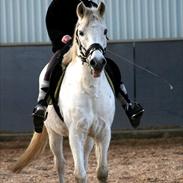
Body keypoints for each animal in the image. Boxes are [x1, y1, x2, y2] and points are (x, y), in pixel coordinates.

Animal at [11, 2, 114, 182]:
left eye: (105, 31)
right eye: (81, 32)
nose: (97, 62)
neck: (91, 91)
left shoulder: (103, 132)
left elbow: (101, 172)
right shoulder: (75, 133)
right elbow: (79, 174)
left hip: (89, 138)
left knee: (85, 160)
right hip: (54, 134)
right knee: (60, 164)